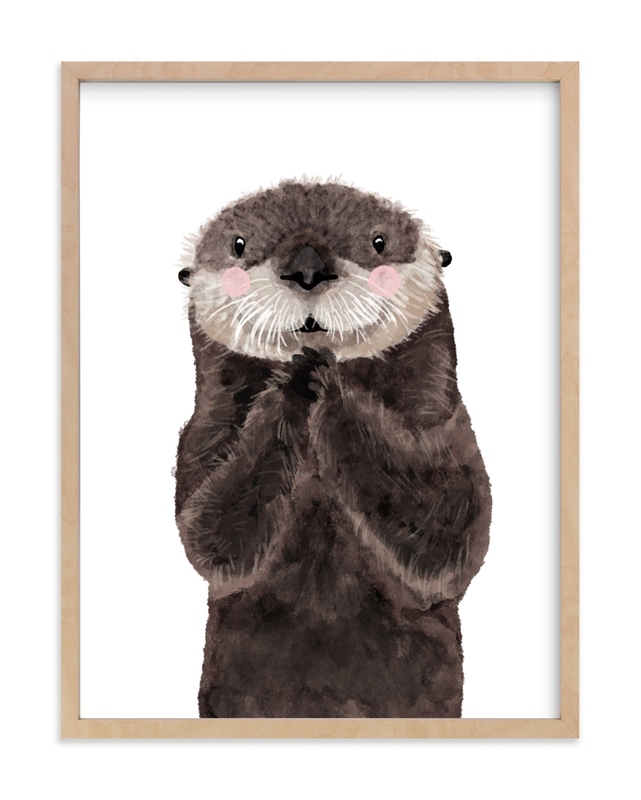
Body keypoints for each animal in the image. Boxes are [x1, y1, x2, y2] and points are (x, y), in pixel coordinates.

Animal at [175, 180, 491, 718]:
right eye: (239, 245)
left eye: (378, 242)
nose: (307, 268)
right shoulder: (200, 438)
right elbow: (207, 534)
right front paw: (297, 375)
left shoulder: (450, 428)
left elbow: (452, 524)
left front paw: (324, 373)